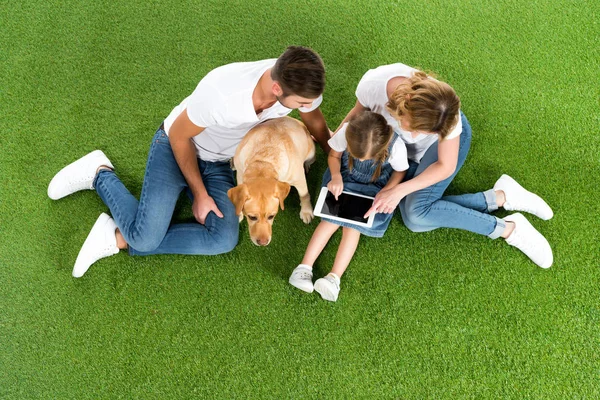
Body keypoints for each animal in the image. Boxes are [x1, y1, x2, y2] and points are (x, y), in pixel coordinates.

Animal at [227, 116, 316, 247]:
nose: (263, 243)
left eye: (271, 216)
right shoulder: (240, 176)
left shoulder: (299, 180)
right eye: (252, 217)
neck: (262, 162)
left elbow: (304, 195)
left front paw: (306, 212)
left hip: (312, 154)